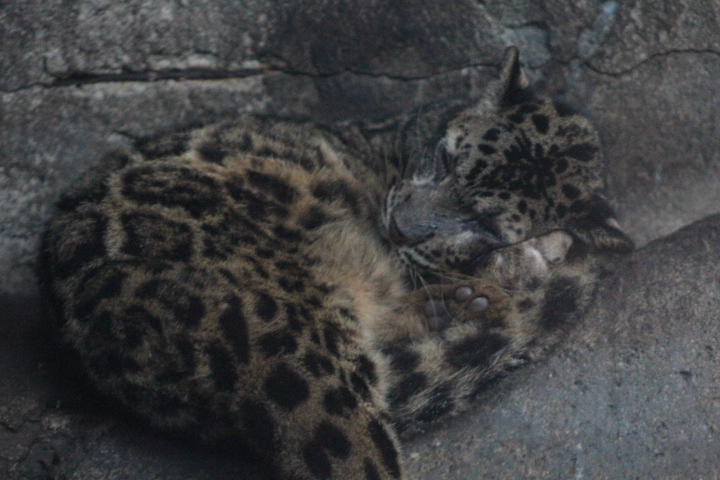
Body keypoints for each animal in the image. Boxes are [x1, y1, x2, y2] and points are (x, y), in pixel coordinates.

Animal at [38, 47, 633, 480]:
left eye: (484, 223)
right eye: (446, 158)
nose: (398, 226)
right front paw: (532, 255)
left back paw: (464, 303)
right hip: (291, 347)